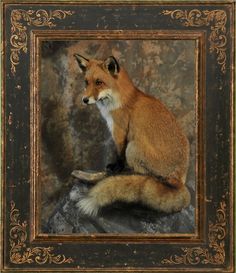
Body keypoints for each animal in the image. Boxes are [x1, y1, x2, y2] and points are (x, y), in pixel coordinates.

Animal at [71, 53, 191, 215]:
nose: (84, 100)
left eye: (99, 82)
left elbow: (119, 155)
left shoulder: (120, 132)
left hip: (133, 147)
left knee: (146, 175)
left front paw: (116, 168)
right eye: (86, 82)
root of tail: (180, 179)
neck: (119, 100)